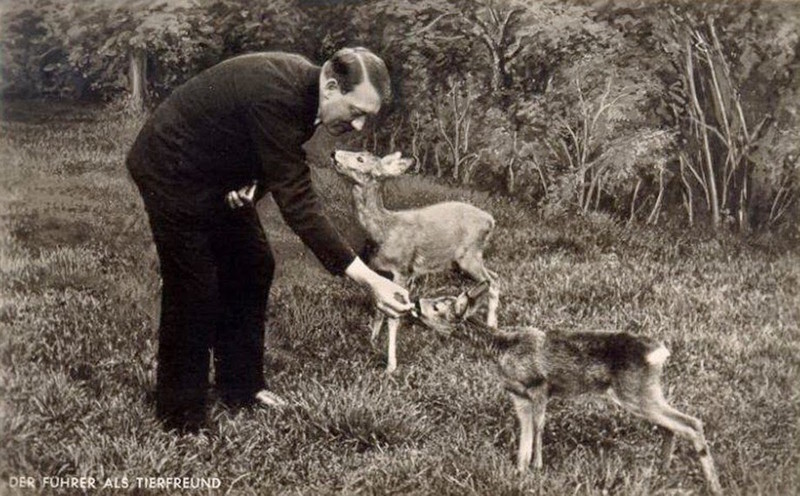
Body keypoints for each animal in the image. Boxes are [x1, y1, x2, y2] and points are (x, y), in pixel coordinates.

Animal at [328, 149, 496, 374]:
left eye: (360, 159)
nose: (334, 152)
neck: (384, 230)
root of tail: (491, 220)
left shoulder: (403, 270)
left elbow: (393, 317)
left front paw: (391, 365)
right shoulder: (380, 272)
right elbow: (379, 309)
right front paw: (372, 341)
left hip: (469, 256)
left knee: (493, 281)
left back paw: (492, 326)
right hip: (463, 261)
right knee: (493, 277)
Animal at [412, 282, 724, 496]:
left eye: (437, 306)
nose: (415, 300)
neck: (503, 348)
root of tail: (659, 353)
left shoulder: (540, 386)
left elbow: (538, 428)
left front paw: (537, 468)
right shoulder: (518, 395)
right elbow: (525, 435)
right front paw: (520, 471)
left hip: (635, 392)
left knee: (691, 423)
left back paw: (713, 485)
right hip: (643, 392)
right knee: (671, 426)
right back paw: (662, 471)